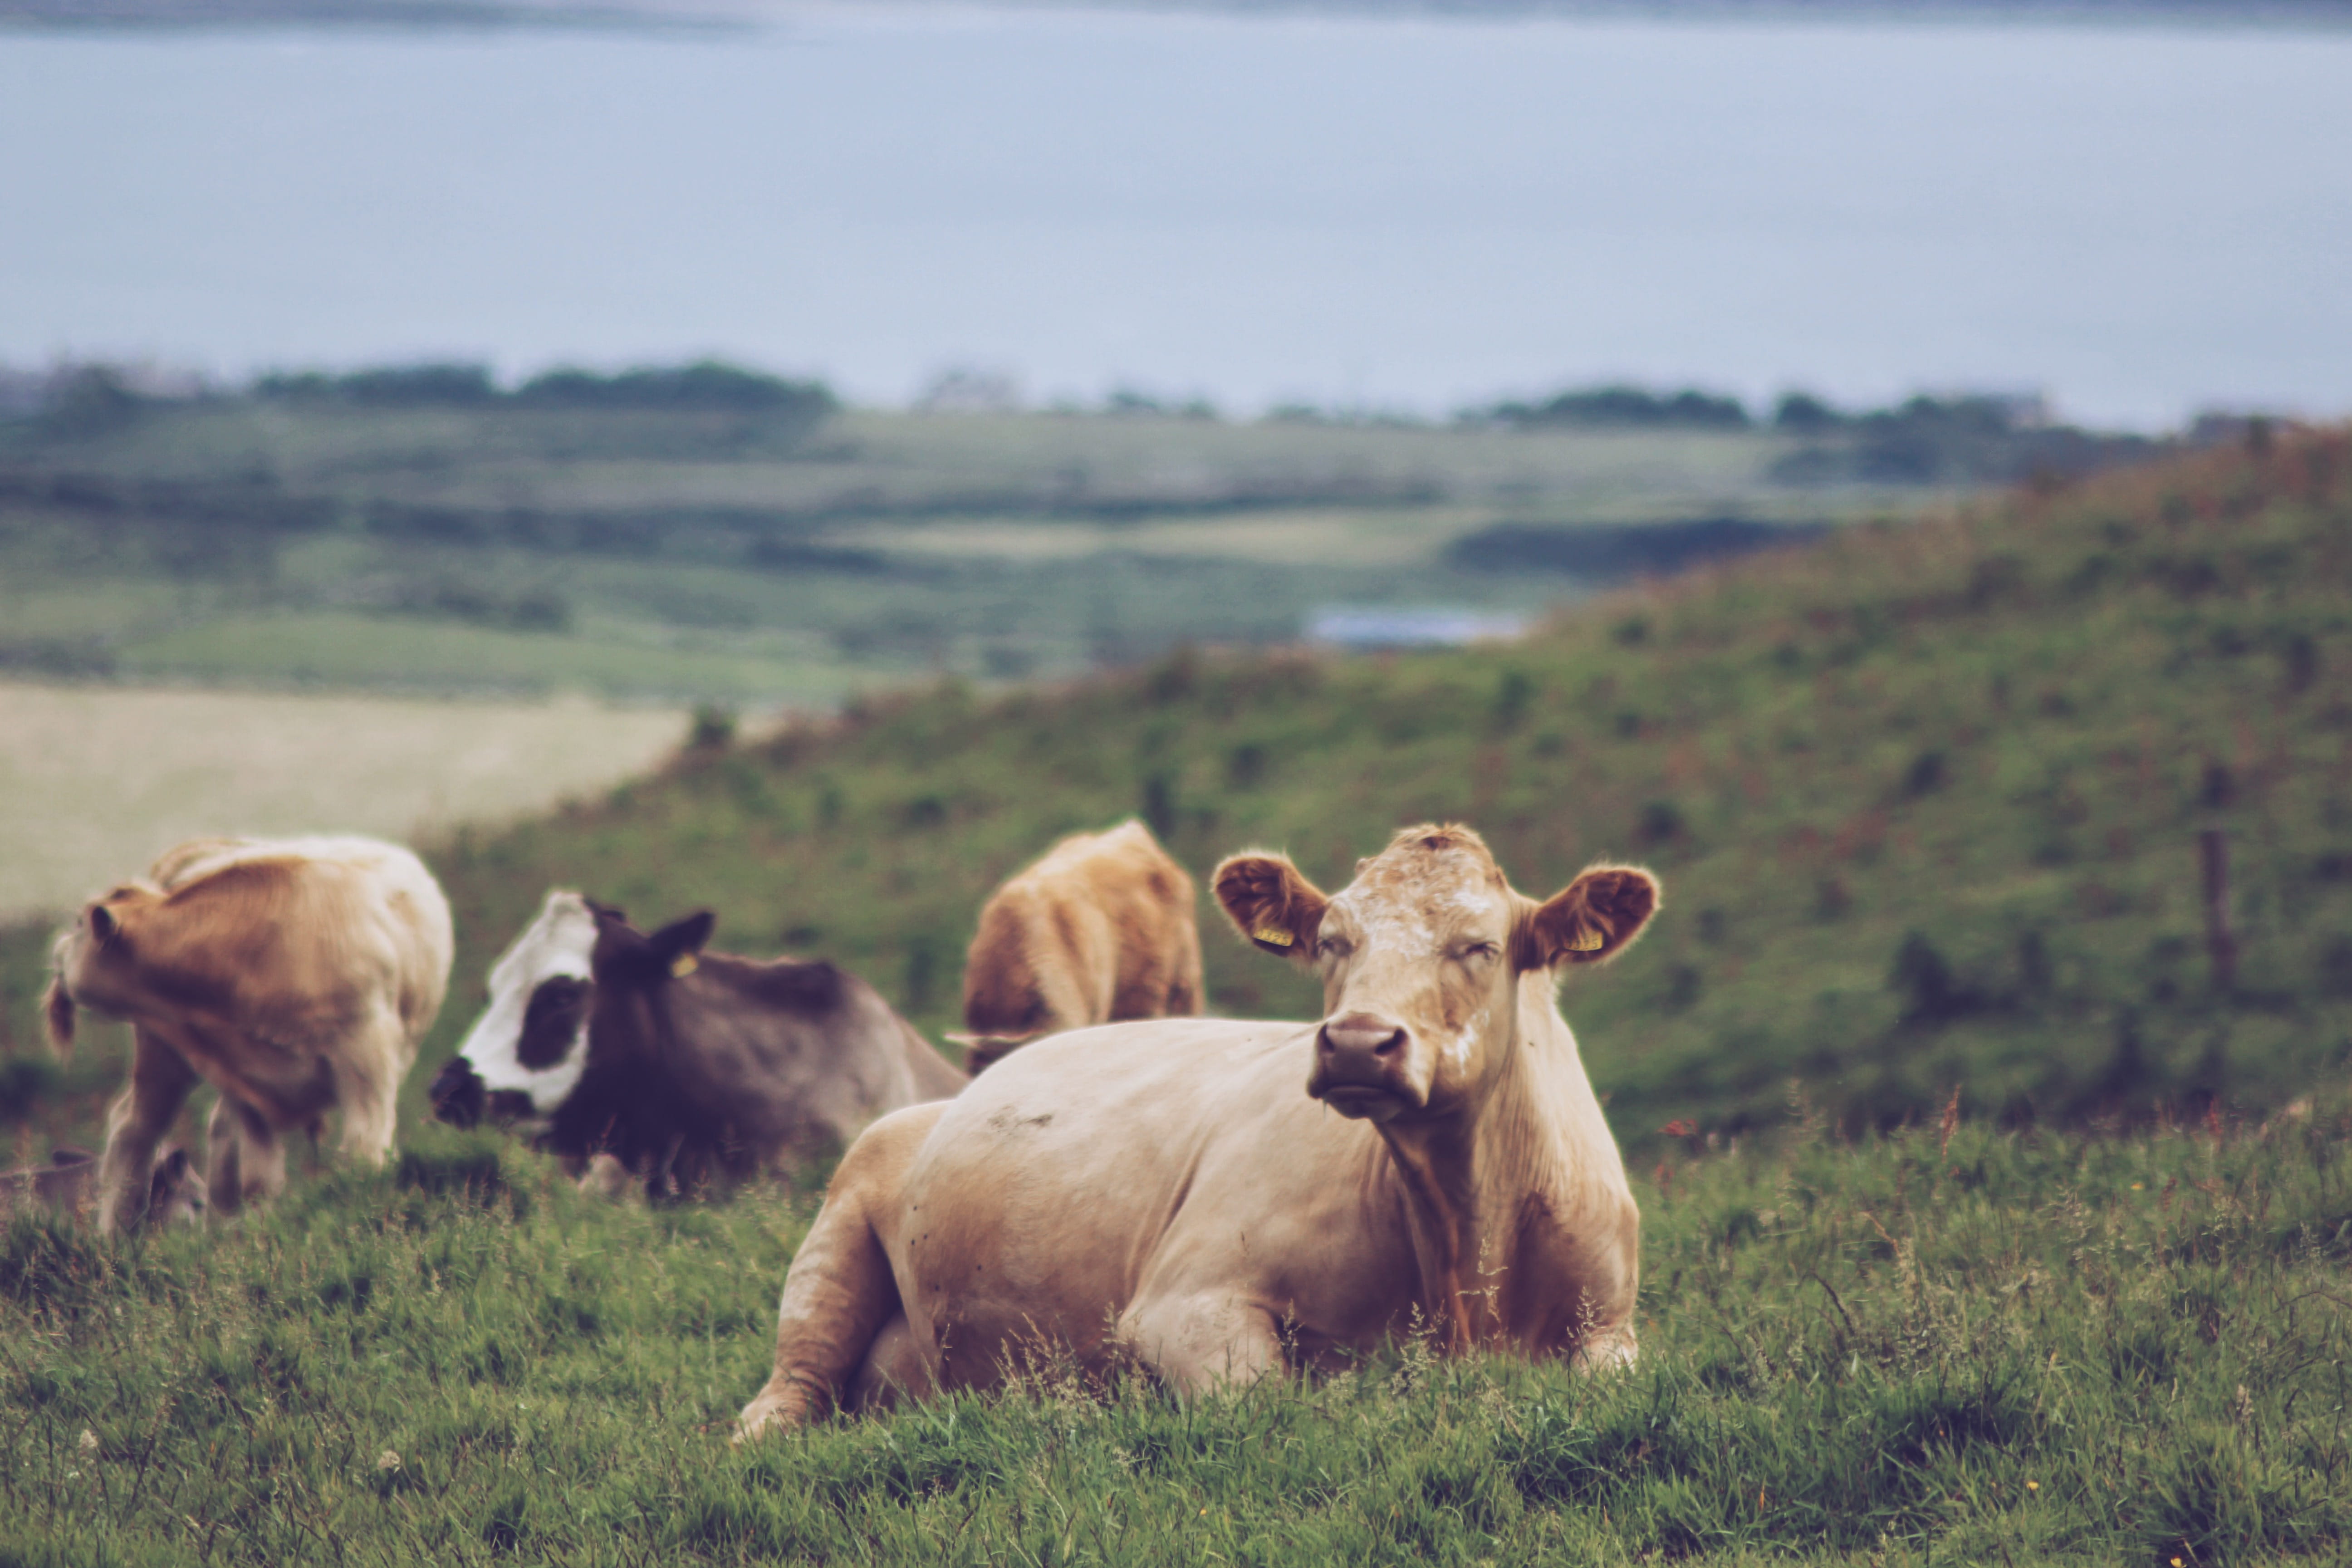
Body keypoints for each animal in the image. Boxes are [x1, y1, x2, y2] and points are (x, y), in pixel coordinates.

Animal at [43, 835, 454, 1233]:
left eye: (78, 925)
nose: (56, 950)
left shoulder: (366, 1056)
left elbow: (363, 1148)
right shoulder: (242, 1073)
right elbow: (259, 1177)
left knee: (193, 1129)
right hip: (161, 1050)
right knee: (136, 1129)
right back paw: (118, 1234)